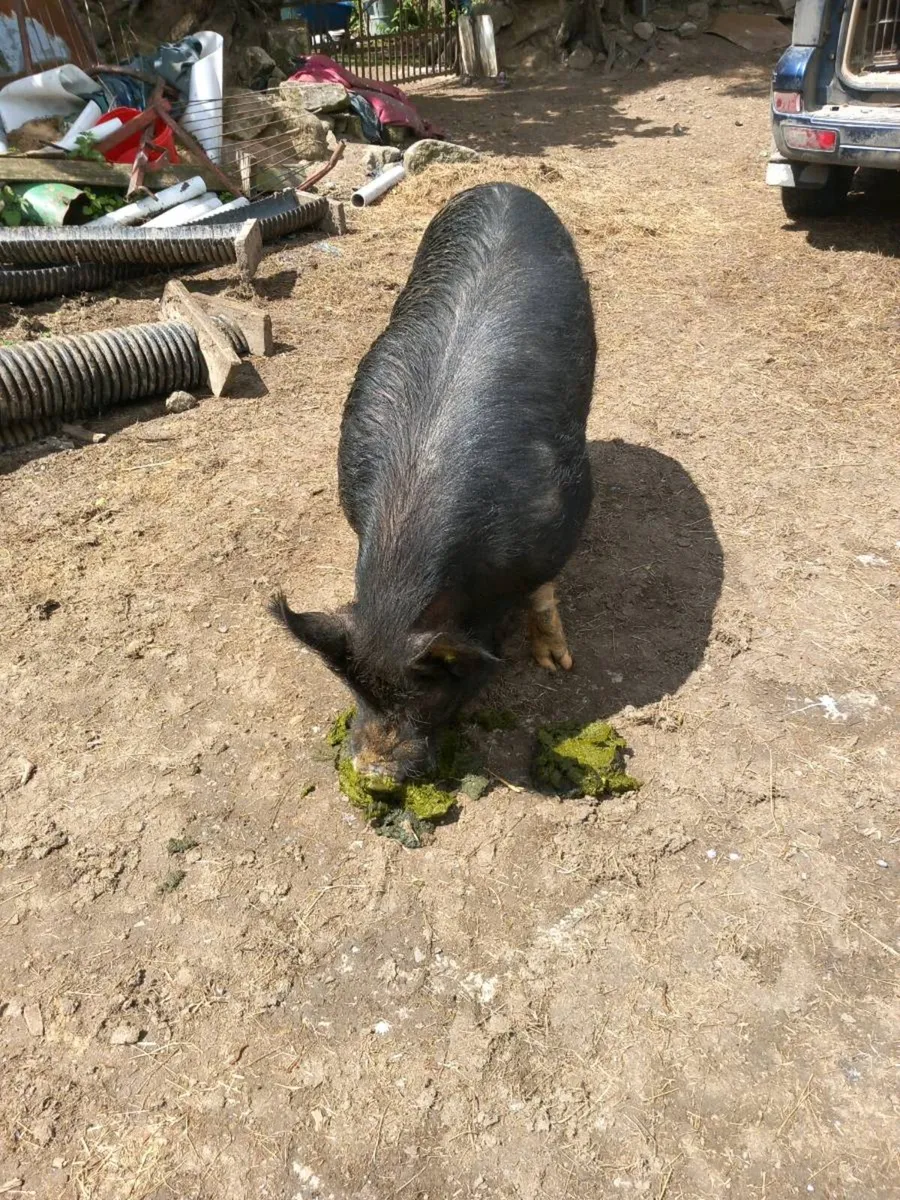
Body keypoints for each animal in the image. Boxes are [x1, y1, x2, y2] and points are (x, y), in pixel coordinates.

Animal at [271, 182, 596, 781]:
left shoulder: (564, 514)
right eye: (356, 690)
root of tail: (504, 185)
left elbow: (543, 592)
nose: (370, 769)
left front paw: (556, 664)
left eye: (431, 694)